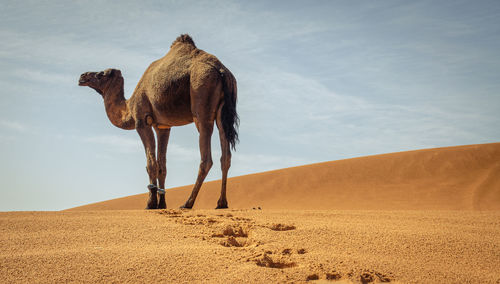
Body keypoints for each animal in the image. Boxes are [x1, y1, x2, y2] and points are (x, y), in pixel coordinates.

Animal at [79, 34, 239, 210]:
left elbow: (151, 164)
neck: (129, 107)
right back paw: (221, 202)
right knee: (225, 156)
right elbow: (162, 165)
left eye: (101, 74)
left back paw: (187, 203)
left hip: (201, 99)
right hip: (223, 111)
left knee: (206, 158)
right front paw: (162, 203)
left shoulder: (142, 121)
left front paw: (150, 203)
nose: (82, 76)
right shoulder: (163, 126)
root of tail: (222, 71)